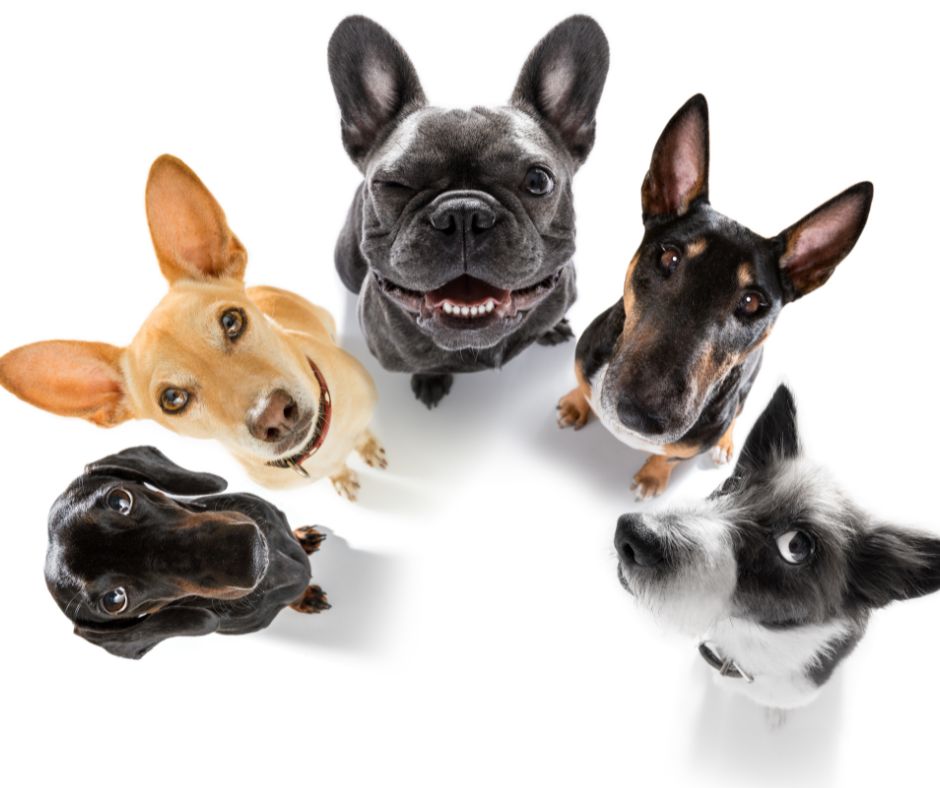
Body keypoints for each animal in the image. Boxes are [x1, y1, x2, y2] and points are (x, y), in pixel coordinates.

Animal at [0, 155, 386, 498]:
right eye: (173, 399)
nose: (272, 414)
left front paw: (368, 447)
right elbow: (338, 467)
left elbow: (364, 435)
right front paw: (342, 475)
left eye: (231, 321)